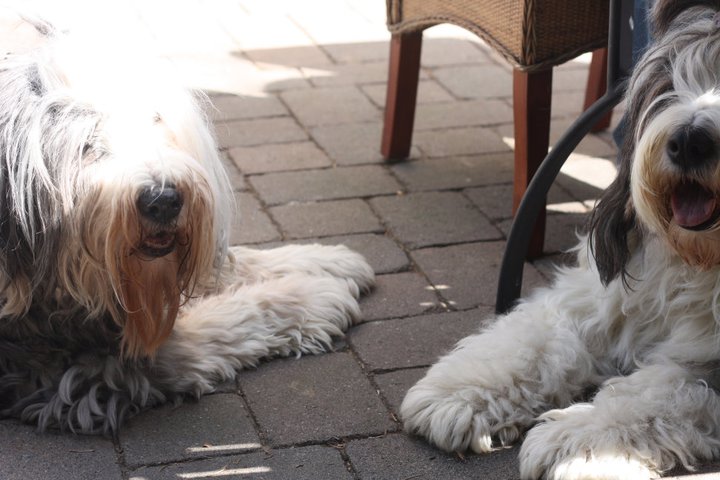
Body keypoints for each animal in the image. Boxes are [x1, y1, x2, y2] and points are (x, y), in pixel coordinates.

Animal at [0, 11, 374, 435]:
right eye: (86, 145)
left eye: (155, 119)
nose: (164, 201)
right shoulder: (80, 369)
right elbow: (227, 320)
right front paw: (311, 295)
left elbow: (226, 262)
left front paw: (326, 261)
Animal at [401, 2, 720, 479]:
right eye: (670, 80)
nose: (689, 141)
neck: (700, 261)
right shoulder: (603, 297)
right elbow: (541, 338)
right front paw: (463, 392)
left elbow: (663, 391)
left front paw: (578, 441)